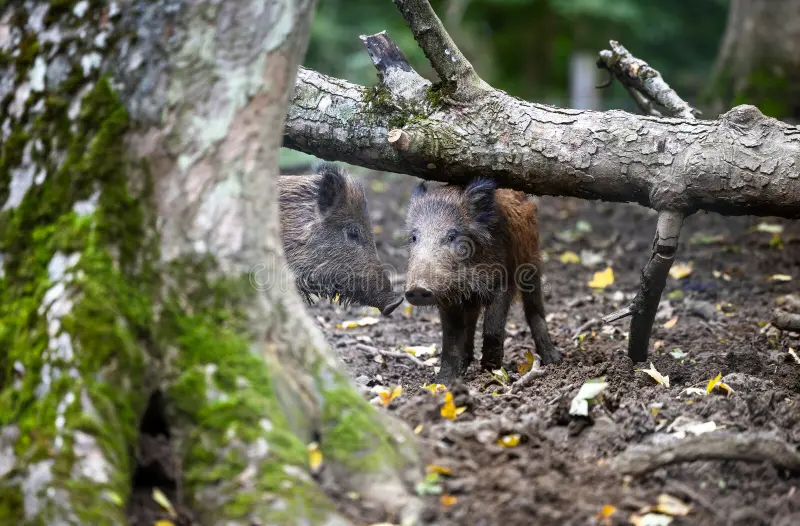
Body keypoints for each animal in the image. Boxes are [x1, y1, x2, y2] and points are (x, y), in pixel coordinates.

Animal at [403, 177, 561, 383]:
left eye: (452, 236)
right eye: (414, 237)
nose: (418, 289)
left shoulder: (505, 280)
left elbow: (493, 325)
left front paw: (491, 369)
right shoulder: (448, 297)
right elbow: (451, 336)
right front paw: (444, 381)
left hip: (532, 262)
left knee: (534, 309)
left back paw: (554, 359)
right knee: (470, 322)